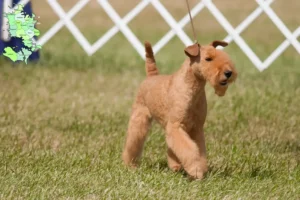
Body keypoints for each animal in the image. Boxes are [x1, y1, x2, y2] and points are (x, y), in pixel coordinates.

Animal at [121, 39, 237, 179]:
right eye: (208, 59)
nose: (229, 73)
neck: (192, 89)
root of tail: (151, 76)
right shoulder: (176, 125)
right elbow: (190, 151)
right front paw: (197, 171)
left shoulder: (196, 128)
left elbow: (197, 150)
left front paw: (200, 169)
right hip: (139, 118)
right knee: (133, 142)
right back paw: (130, 164)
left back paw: (175, 167)